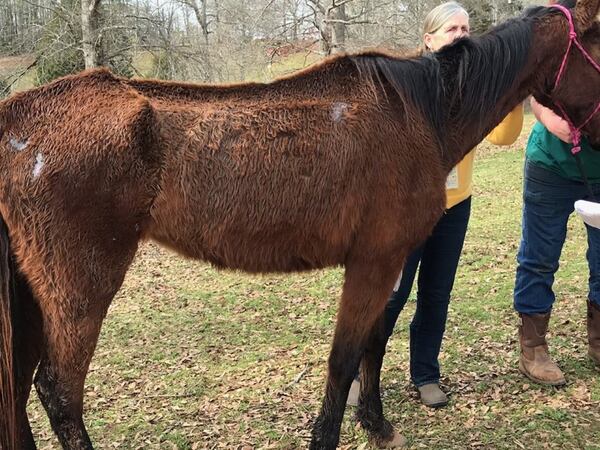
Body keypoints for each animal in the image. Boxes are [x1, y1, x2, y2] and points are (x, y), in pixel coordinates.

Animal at [1, 0, 600, 448]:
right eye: (598, 48)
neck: (422, 113)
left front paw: (376, 424)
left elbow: (373, 343)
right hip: (79, 287)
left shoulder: (387, 262)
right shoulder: (372, 262)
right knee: (58, 393)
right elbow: (343, 359)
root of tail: (19, 116)